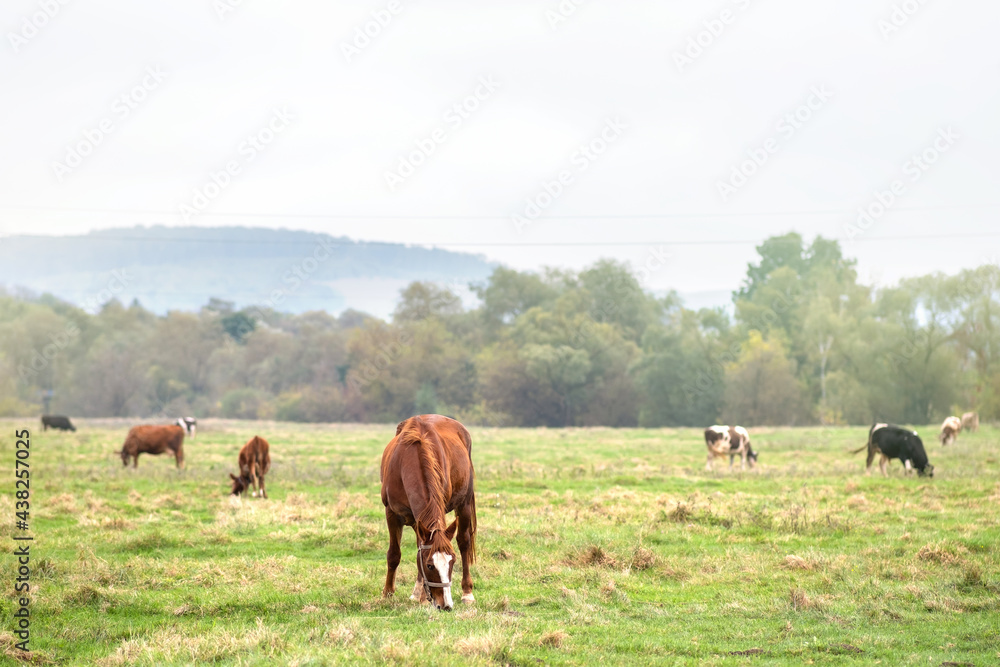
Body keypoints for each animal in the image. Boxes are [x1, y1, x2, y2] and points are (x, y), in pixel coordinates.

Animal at [380, 414, 478, 612]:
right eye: (430, 566)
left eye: (452, 562)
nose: (446, 605)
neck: (410, 458)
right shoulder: (392, 513)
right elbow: (394, 554)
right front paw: (388, 594)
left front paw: (424, 599)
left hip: (463, 504)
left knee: (464, 542)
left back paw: (467, 593)